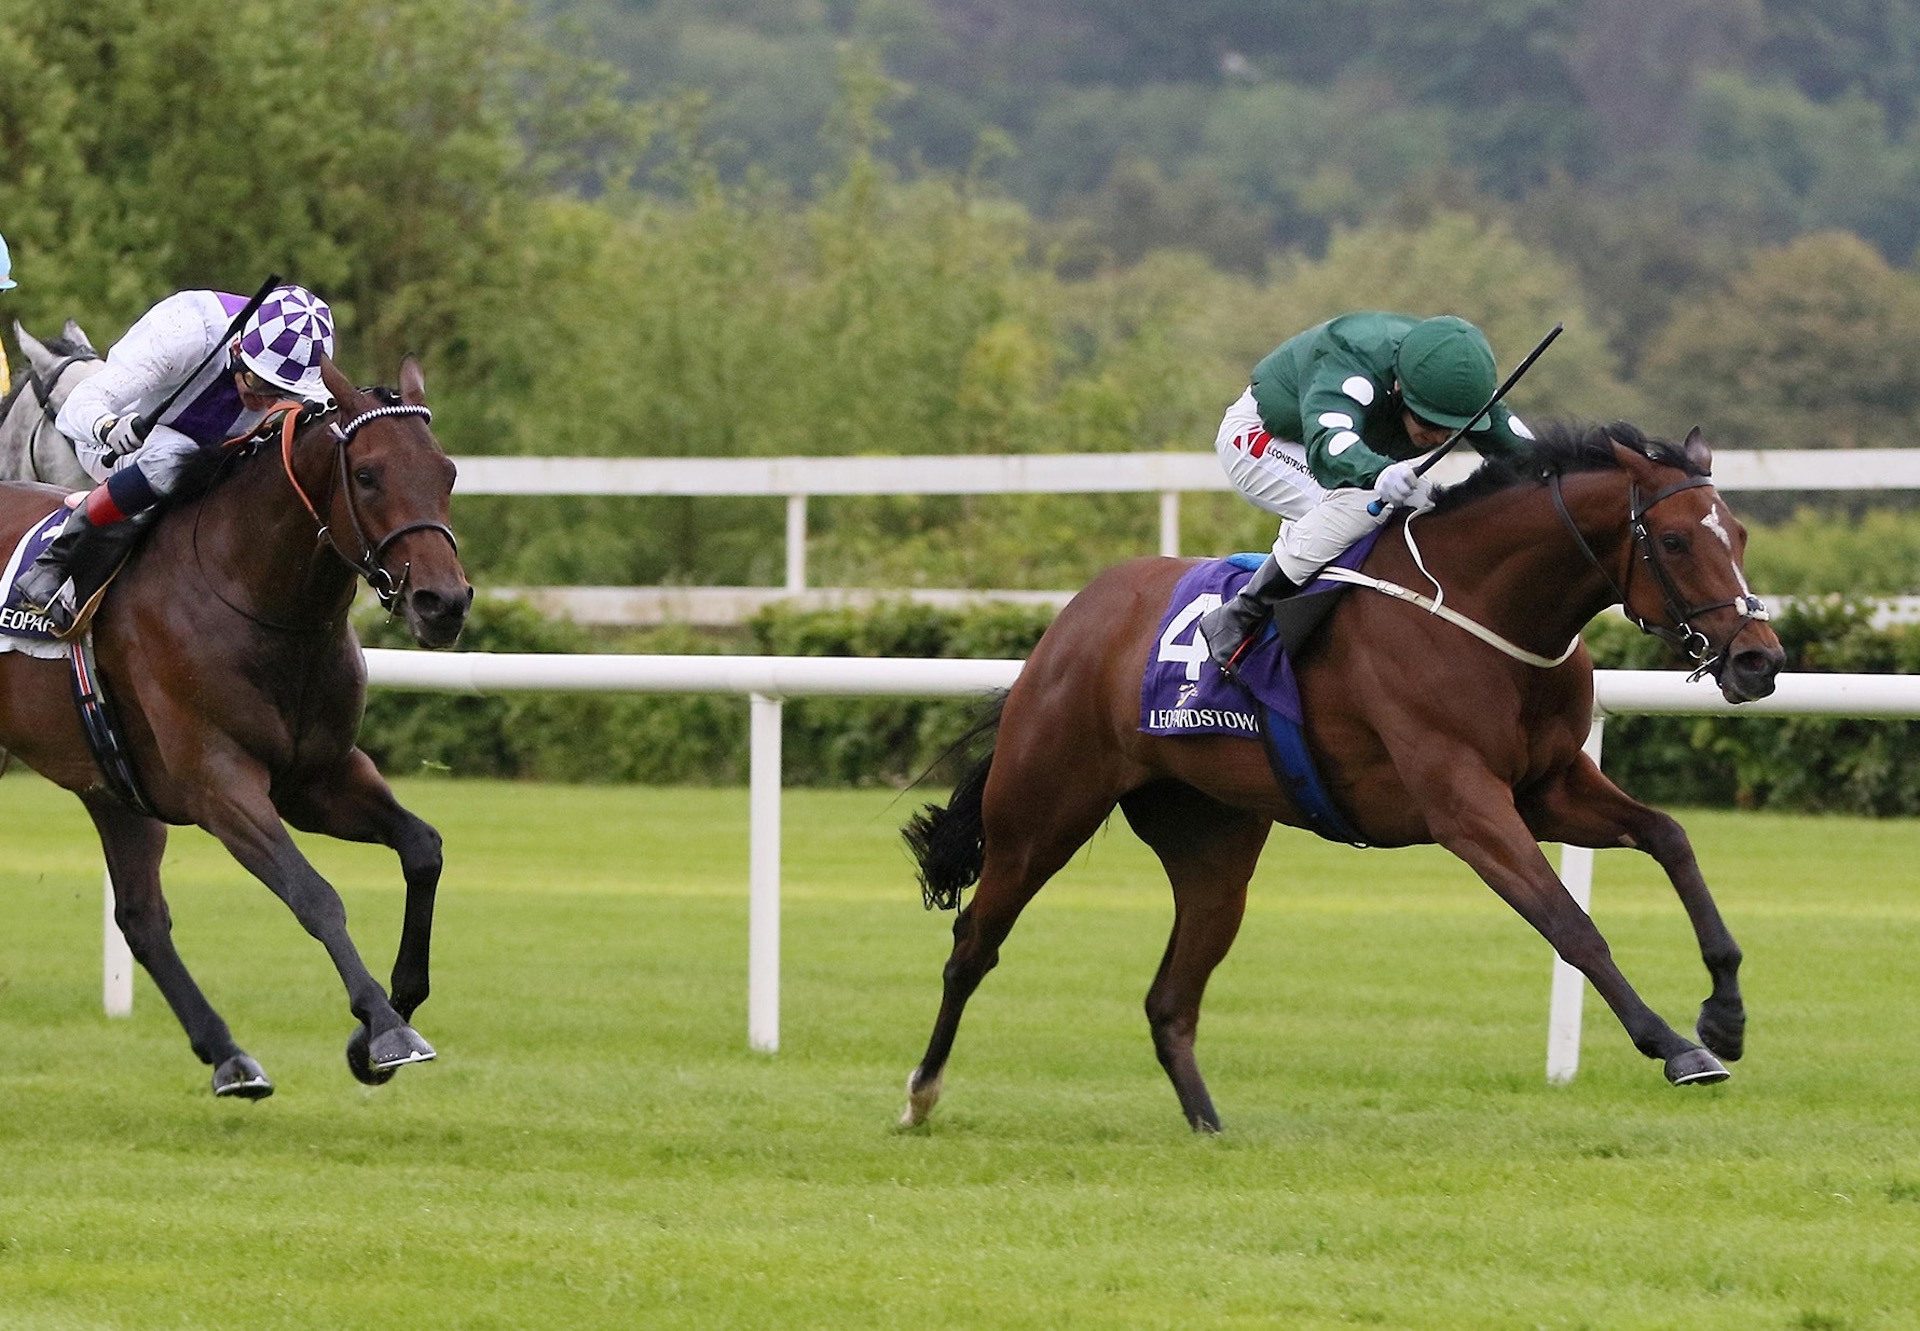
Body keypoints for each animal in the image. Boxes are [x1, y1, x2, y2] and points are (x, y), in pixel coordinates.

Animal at [0, 353, 468, 1090]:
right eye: (368, 474)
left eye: (446, 472)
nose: (443, 602)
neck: (254, 595)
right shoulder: (219, 785)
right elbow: (314, 895)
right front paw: (387, 1028)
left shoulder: (318, 777)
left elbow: (423, 848)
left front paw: (381, 1025)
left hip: (110, 784)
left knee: (141, 916)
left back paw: (227, 1054)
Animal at [906, 420, 1789, 1129]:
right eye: (1674, 541)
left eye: (1741, 534)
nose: (1759, 660)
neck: (1481, 607)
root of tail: (1071, 620)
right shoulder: (1465, 805)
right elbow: (1571, 924)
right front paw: (1674, 1044)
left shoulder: (1548, 788)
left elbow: (1668, 836)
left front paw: (1726, 1012)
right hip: (1043, 811)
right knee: (972, 944)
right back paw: (920, 1094)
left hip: (1214, 846)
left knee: (1170, 999)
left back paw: (1209, 1126)